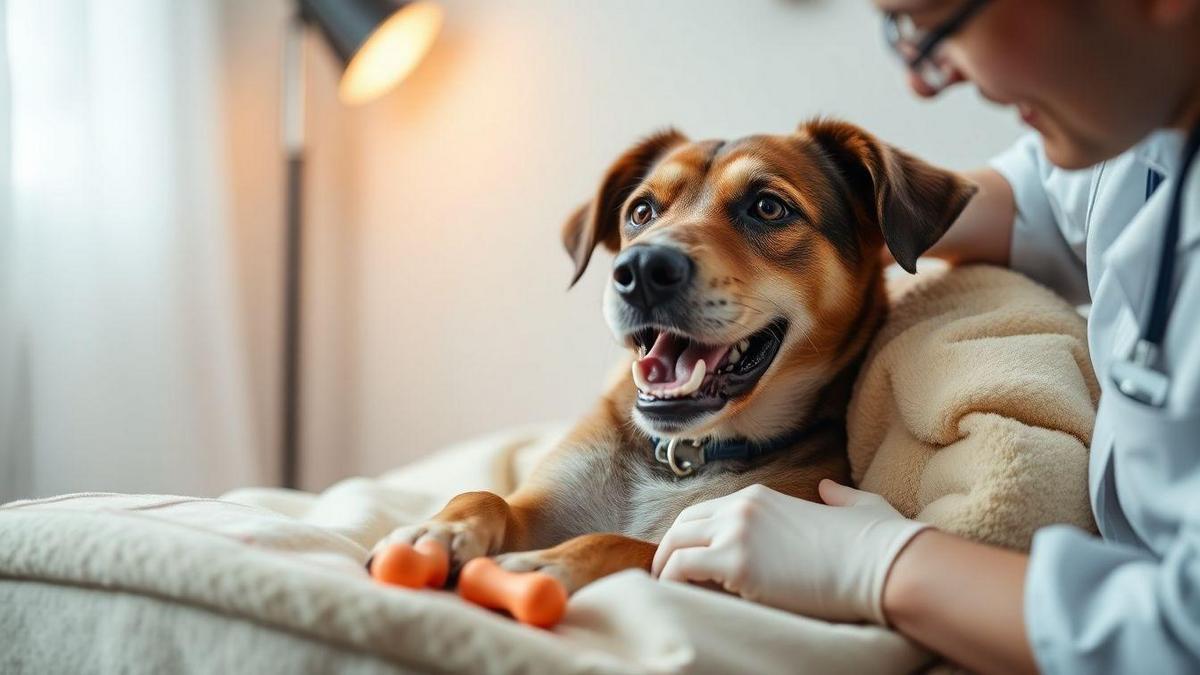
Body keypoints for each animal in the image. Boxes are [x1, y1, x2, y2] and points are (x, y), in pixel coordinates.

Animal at [372, 118, 974, 590]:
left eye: (768, 207)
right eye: (641, 211)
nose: (639, 269)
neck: (680, 456)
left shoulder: (707, 541)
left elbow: (628, 545)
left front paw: (544, 568)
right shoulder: (544, 503)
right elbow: (486, 496)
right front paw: (438, 530)